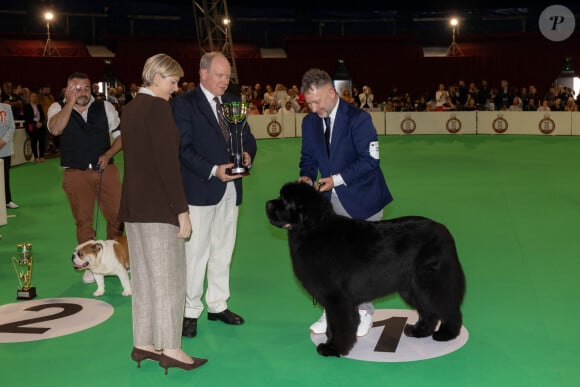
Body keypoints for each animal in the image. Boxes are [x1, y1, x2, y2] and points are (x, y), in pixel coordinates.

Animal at [268, 182, 466, 358]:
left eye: (285, 200)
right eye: (280, 196)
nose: (268, 203)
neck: (314, 230)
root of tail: (444, 230)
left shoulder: (337, 298)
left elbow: (339, 324)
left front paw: (333, 348)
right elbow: (332, 324)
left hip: (431, 282)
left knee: (447, 306)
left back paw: (446, 334)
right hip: (412, 287)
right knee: (428, 310)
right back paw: (419, 331)